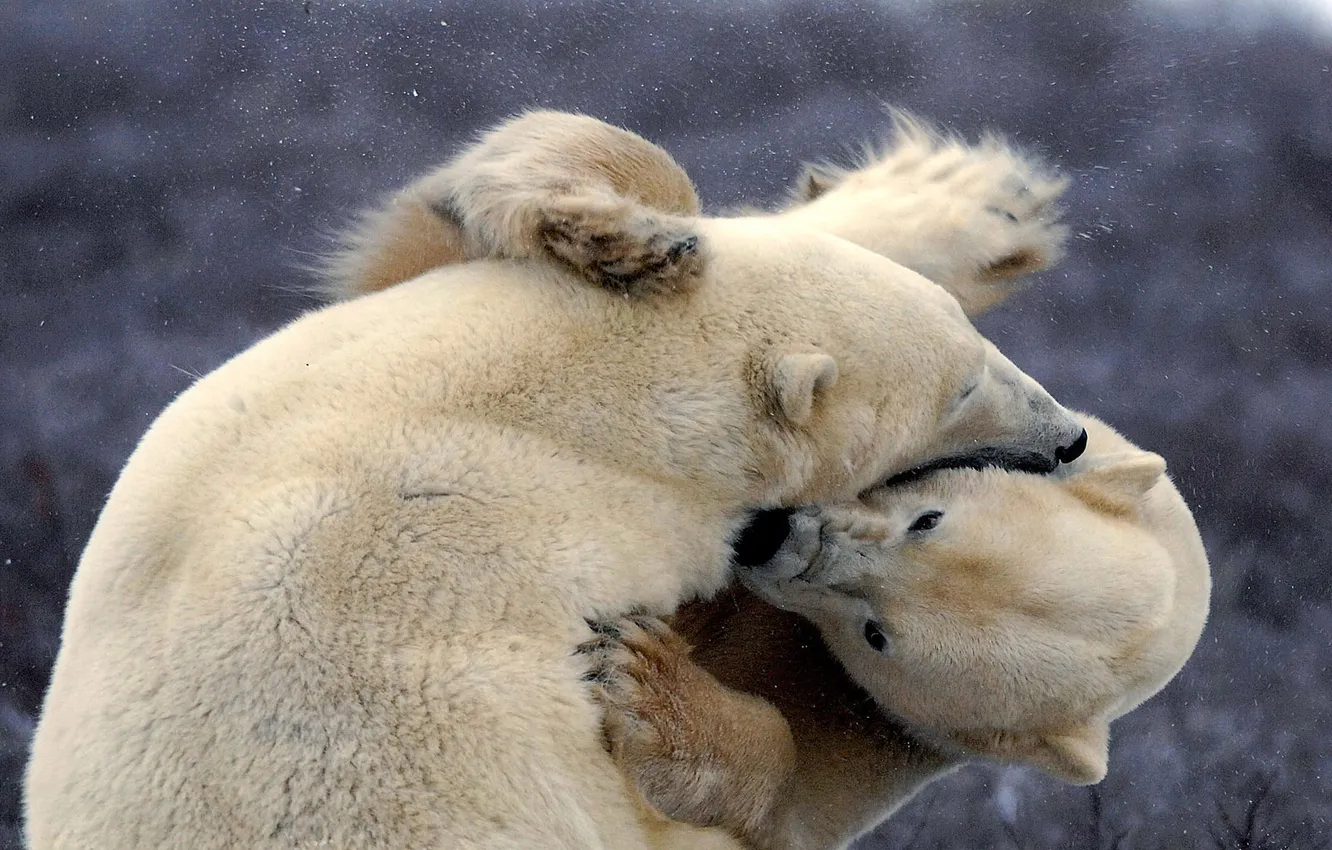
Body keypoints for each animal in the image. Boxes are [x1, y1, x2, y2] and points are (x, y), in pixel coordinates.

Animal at [587, 413, 1211, 850]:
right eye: (927, 520)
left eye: (876, 636)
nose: (770, 537)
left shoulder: (890, 731)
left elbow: (794, 805)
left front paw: (642, 674)